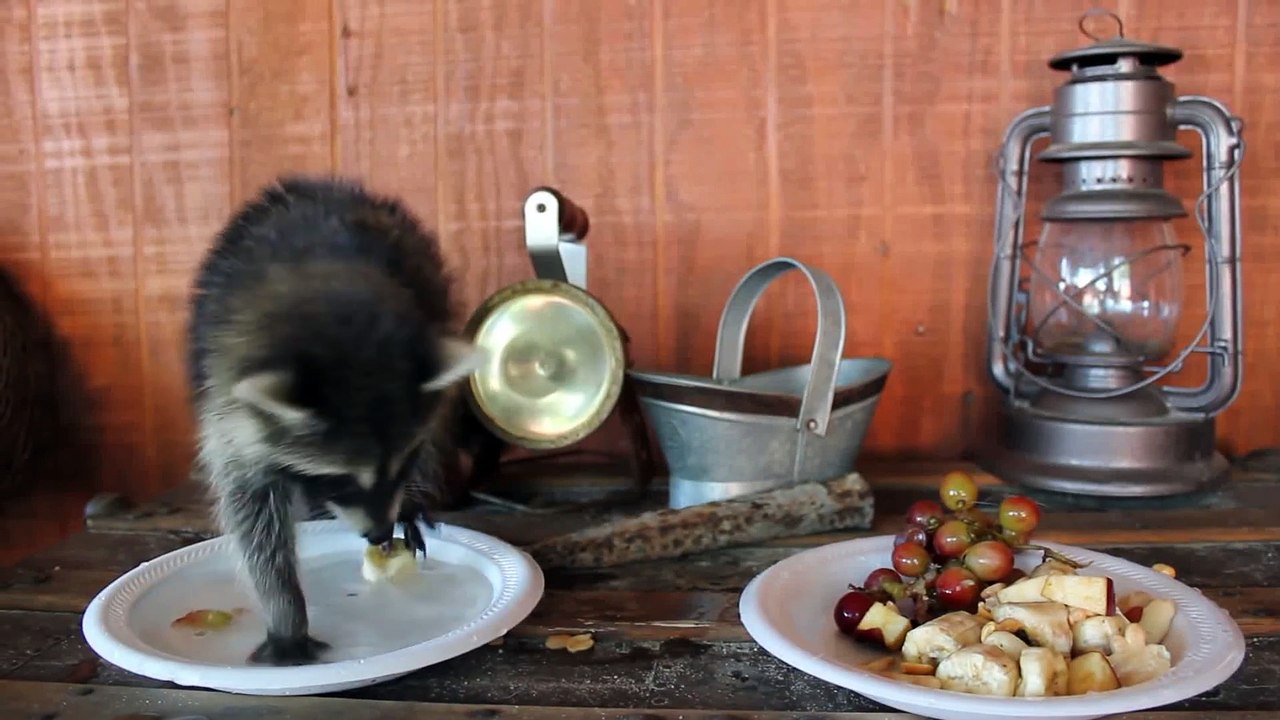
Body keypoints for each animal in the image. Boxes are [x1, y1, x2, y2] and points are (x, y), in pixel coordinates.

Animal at [187, 176, 482, 665]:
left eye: (402, 463)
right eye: (340, 478)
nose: (380, 533)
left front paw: (410, 495)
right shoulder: (226, 401)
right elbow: (250, 513)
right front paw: (285, 608)